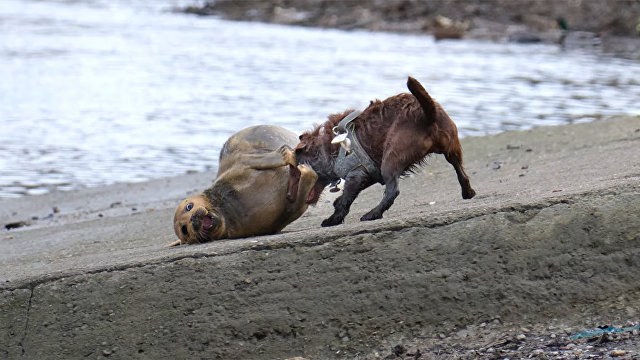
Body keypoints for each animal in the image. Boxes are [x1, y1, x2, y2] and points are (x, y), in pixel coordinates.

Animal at [296, 76, 476, 226]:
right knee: (461, 171)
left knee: (392, 191)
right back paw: (468, 192)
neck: (327, 146)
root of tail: (426, 113)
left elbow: (346, 198)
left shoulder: (356, 173)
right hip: (452, 147)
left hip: (391, 157)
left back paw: (372, 214)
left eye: (295, 170)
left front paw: (333, 219)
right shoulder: (370, 172)